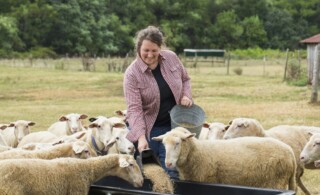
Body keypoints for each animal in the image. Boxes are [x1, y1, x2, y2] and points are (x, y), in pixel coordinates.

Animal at [152, 127, 298, 191]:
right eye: (163, 144)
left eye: (178, 143)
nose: (168, 163)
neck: (198, 152)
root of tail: (290, 152)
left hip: (276, 181)